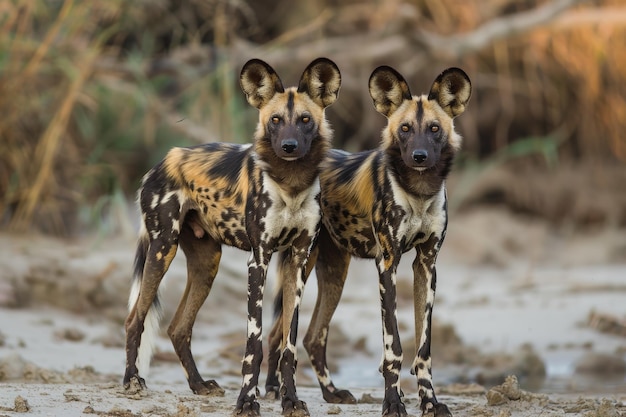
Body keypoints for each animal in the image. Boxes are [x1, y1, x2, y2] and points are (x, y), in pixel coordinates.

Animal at [123, 57, 342, 414]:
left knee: (178, 328)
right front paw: (247, 402)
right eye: (275, 120)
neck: (291, 182)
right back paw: (131, 381)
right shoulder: (259, 262)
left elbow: (288, 343)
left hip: (206, 264)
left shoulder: (297, 262)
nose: (289, 146)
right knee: (135, 319)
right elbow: (254, 344)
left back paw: (198, 385)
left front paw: (291, 401)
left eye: (306, 120)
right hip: (162, 250)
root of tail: (163, 161)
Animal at [266, 66, 470, 414]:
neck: (418, 191)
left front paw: (430, 402)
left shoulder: (426, 266)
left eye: (434, 128)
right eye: (404, 129)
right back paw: (273, 391)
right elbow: (394, 348)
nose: (419, 156)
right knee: (282, 335)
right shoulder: (387, 264)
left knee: (310, 337)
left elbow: (423, 349)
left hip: (334, 273)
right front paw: (393, 403)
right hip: (305, 268)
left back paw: (329, 393)